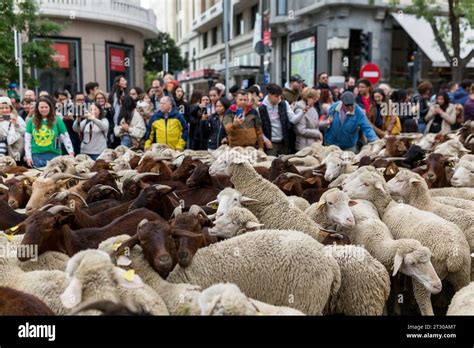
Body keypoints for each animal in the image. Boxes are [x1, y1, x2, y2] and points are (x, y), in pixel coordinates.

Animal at [342, 171, 472, 316]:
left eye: (365, 184)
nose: (344, 189)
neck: (388, 206)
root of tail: (454, 254)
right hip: (463, 275)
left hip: (426, 278)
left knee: (424, 302)